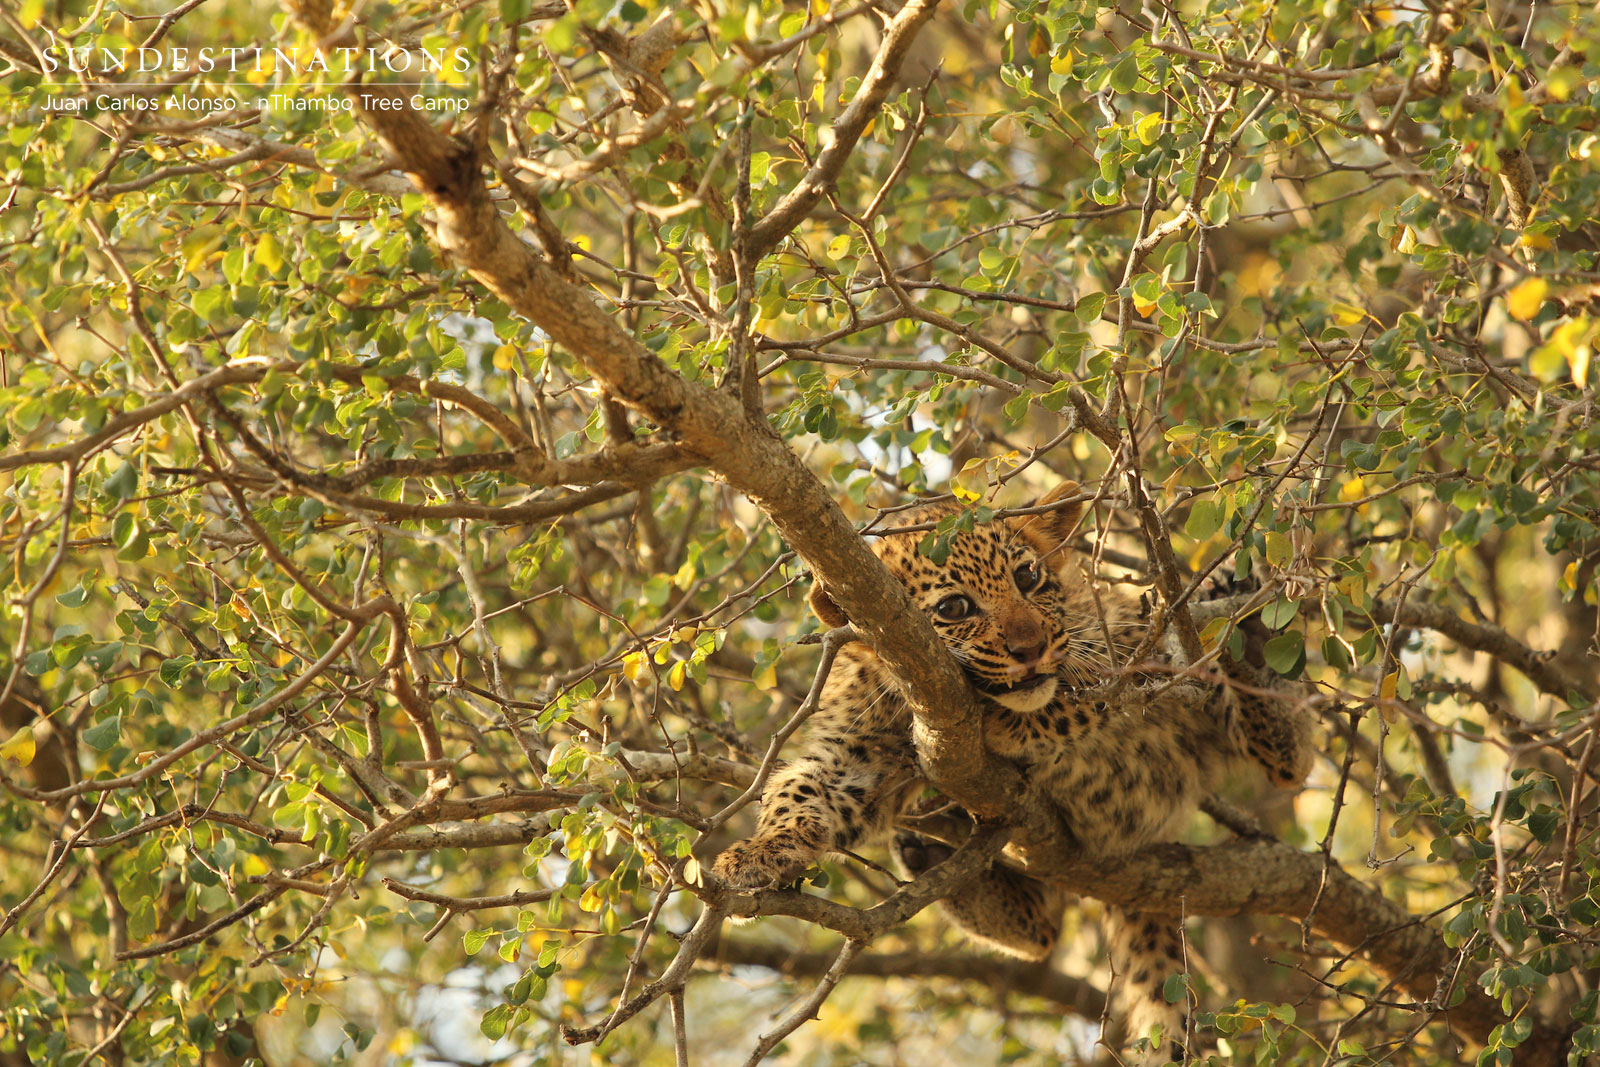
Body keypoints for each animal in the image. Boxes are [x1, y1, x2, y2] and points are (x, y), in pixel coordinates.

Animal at [712, 482, 1313, 1065]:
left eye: (1028, 577)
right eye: (955, 607)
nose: (1030, 648)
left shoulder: (1128, 649)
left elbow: (1079, 694)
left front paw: (1010, 721)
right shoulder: (857, 752)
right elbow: (798, 790)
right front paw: (756, 853)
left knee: (1290, 758)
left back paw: (1248, 632)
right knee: (1042, 932)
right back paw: (927, 855)